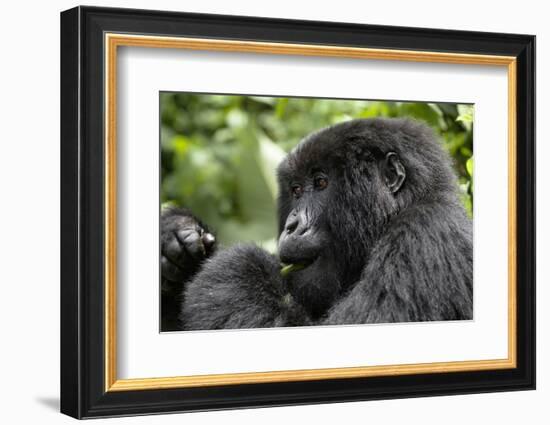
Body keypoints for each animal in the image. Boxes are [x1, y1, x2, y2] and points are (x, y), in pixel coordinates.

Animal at [158, 117, 474, 332]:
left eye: (321, 183)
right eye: (296, 190)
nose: (292, 226)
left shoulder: (424, 235)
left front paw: (237, 267)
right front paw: (174, 236)